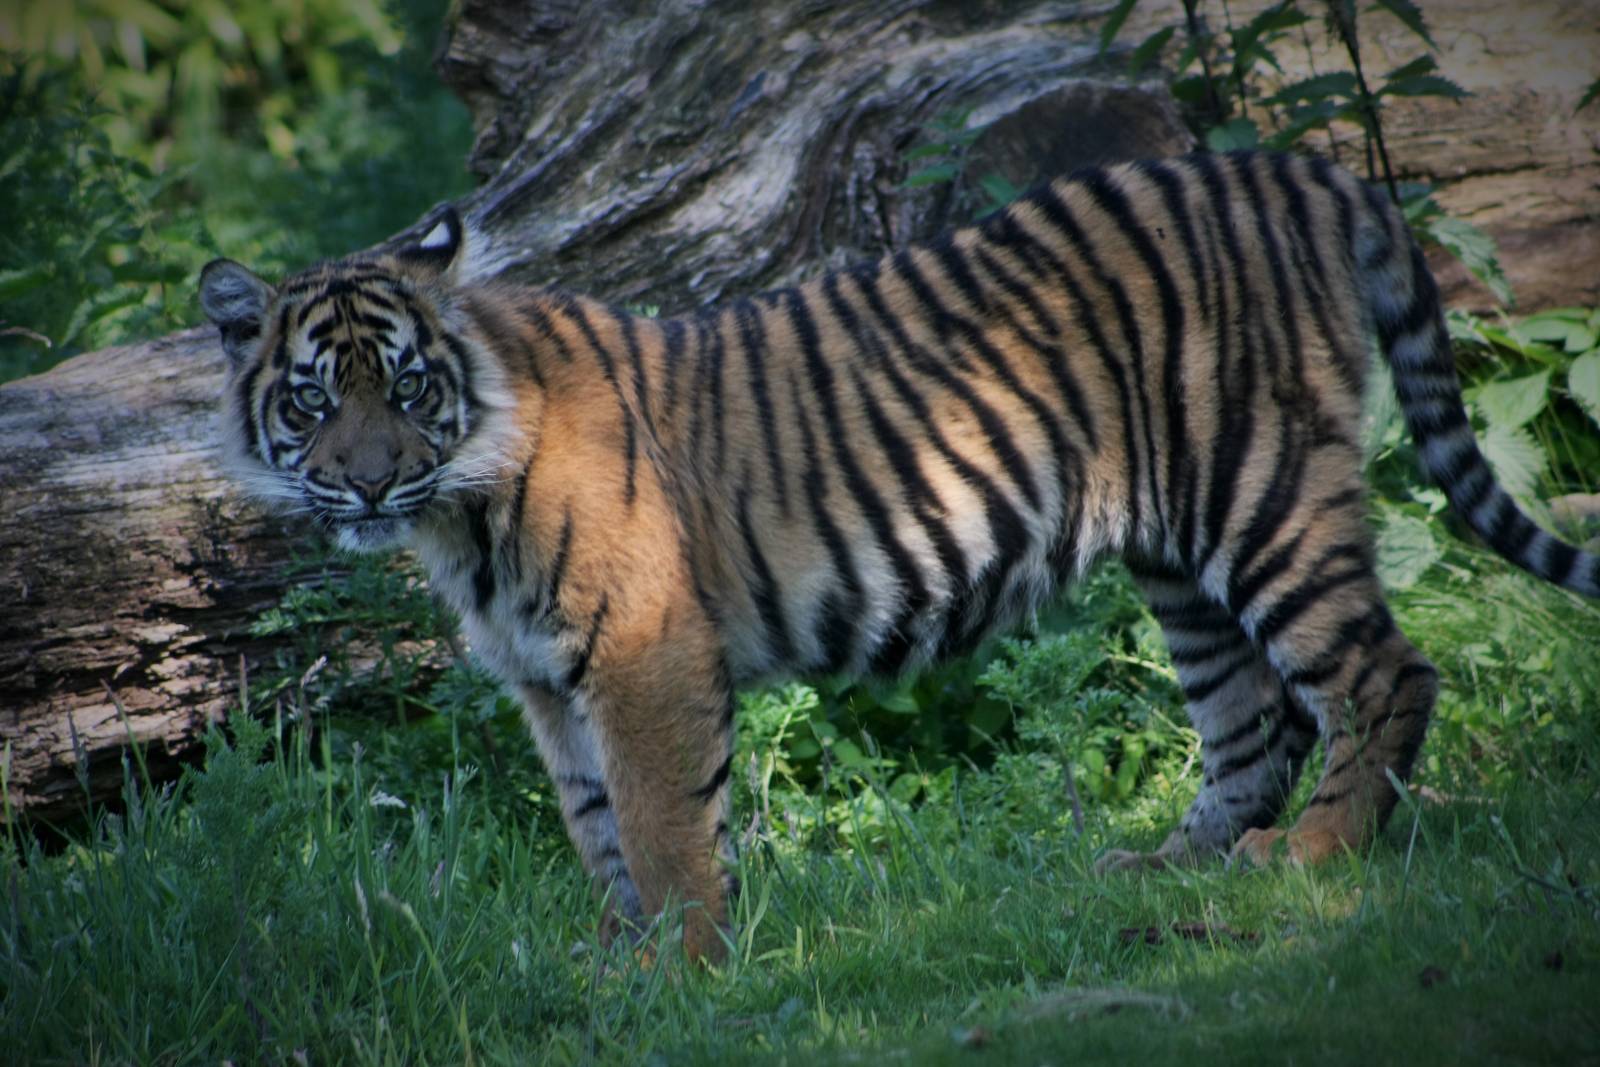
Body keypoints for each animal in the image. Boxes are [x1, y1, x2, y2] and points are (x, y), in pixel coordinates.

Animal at [200, 149, 1600, 961]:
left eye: (406, 387)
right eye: (316, 398)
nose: (368, 477)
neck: (458, 507)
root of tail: (1290, 168)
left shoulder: (641, 652)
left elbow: (659, 822)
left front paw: (683, 966)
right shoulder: (549, 679)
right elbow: (595, 827)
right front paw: (614, 955)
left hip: (1258, 489)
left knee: (1377, 673)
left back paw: (1320, 858)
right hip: (1175, 550)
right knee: (1252, 718)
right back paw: (1175, 865)